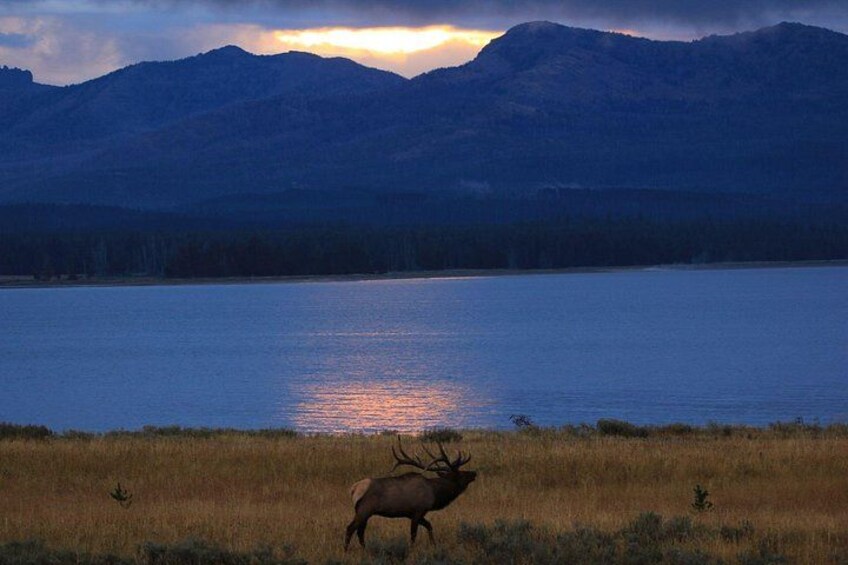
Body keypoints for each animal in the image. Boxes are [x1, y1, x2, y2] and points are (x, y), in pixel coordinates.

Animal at [344, 437, 476, 551]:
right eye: (461, 474)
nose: (474, 473)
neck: (434, 493)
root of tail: (353, 489)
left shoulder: (414, 514)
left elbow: (429, 526)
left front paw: (434, 545)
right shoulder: (417, 511)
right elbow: (413, 534)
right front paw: (412, 549)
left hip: (363, 512)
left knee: (360, 531)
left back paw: (364, 549)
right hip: (365, 510)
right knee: (351, 528)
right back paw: (346, 550)